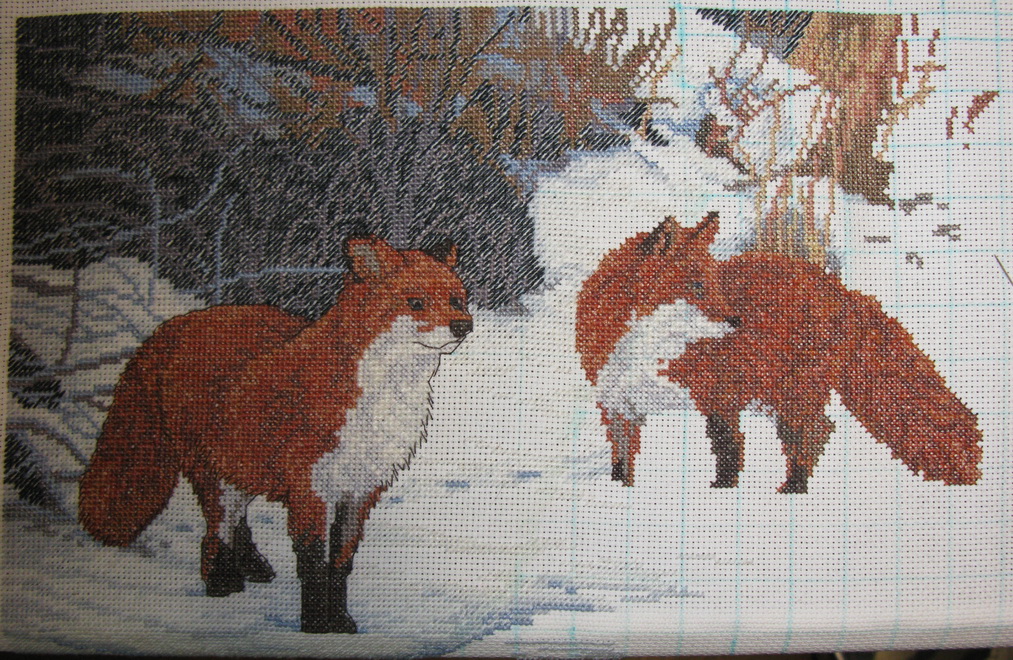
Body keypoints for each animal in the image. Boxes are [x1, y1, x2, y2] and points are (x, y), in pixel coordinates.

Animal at [78, 236, 472, 634]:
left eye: (456, 300)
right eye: (416, 303)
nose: (463, 326)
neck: (378, 402)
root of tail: (174, 325)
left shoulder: (360, 490)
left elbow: (340, 564)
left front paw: (341, 621)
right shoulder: (310, 487)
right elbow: (314, 564)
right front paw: (315, 625)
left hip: (241, 463)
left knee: (236, 522)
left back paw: (252, 568)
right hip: (213, 469)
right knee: (217, 528)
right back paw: (221, 582)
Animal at [576, 212, 982, 493]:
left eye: (716, 284)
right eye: (696, 286)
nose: (736, 321)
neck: (646, 351)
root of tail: (844, 292)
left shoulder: (719, 395)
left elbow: (728, 452)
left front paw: (721, 496)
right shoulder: (617, 407)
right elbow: (622, 464)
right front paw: (621, 494)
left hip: (789, 397)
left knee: (814, 433)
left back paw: (792, 492)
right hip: (774, 397)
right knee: (819, 431)